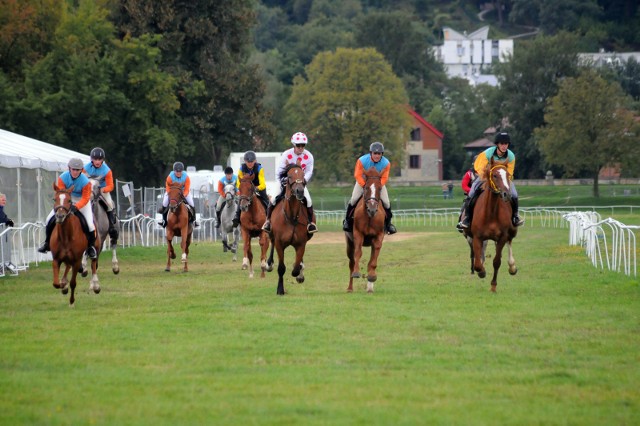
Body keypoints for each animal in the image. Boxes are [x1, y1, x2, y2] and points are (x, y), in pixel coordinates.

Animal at [264, 165, 312, 294]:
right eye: (289, 176)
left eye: (302, 175)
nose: (300, 191)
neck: (291, 217)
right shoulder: (280, 244)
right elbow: (281, 268)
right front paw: (280, 289)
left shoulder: (301, 244)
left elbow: (296, 267)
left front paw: (299, 273)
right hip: (271, 234)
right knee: (271, 242)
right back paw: (269, 264)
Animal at [462, 158, 516, 292]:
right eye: (495, 175)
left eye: (508, 175)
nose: (507, 194)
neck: (491, 212)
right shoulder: (477, 237)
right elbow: (477, 261)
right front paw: (481, 272)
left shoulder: (502, 237)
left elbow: (497, 261)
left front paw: (493, 286)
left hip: (511, 231)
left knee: (509, 242)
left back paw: (512, 267)